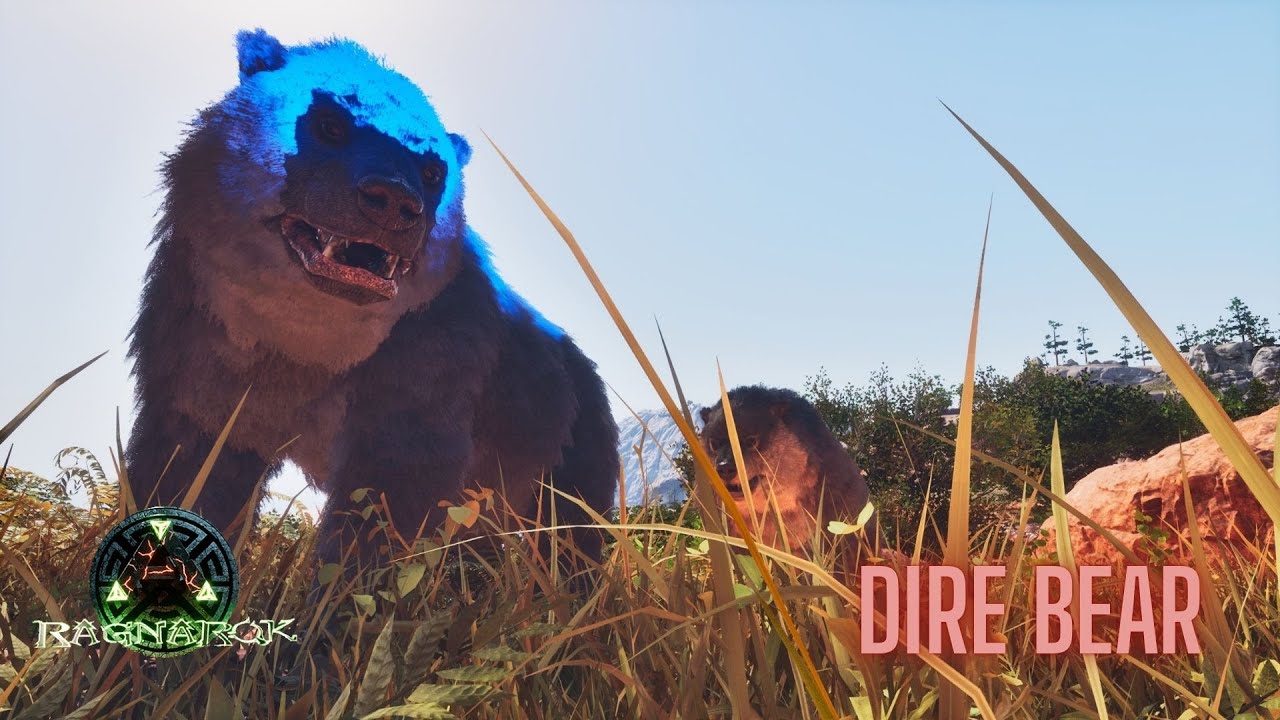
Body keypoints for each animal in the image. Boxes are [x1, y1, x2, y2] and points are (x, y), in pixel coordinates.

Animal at [125, 29, 619, 572]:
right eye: (330, 124)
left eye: (432, 169)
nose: (393, 202)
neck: (300, 346)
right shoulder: (201, 361)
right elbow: (187, 475)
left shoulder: (425, 375)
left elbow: (384, 516)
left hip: (566, 448)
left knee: (569, 537)